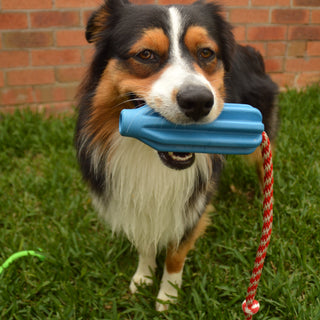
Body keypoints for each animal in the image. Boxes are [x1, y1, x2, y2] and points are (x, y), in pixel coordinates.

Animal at [75, 0, 278, 312]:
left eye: (206, 53)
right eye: (146, 54)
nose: (198, 101)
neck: (150, 157)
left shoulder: (193, 203)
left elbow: (176, 253)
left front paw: (167, 296)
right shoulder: (135, 197)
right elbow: (146, 240)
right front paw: (143, 277)